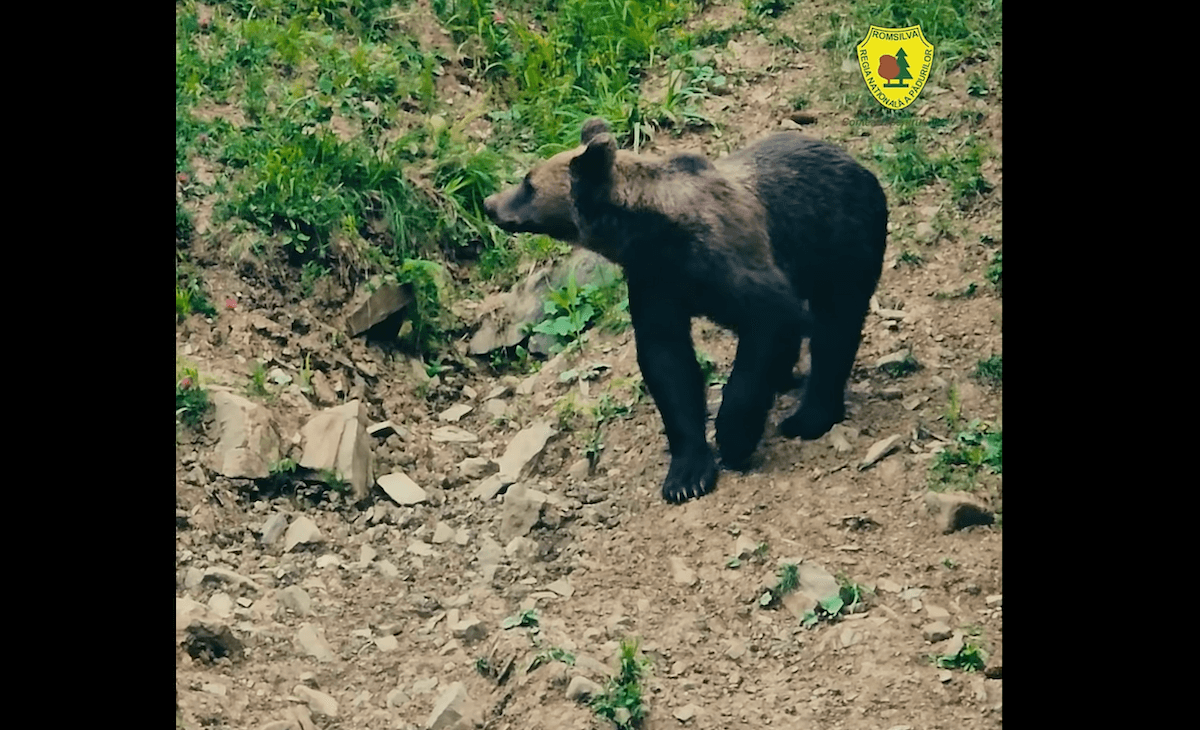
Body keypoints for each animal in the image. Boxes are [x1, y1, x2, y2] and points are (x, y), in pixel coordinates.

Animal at [483, 118, 887, 504]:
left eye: (528, 183)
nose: (490, 203)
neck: (653, 235)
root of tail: (857, 163)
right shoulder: (655, 283)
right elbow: (668, 364)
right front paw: (686, 476)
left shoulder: (733, 267)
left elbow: (768, 328)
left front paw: (734, 437)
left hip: (842, 245)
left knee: (836, 328)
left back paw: (808, 417)